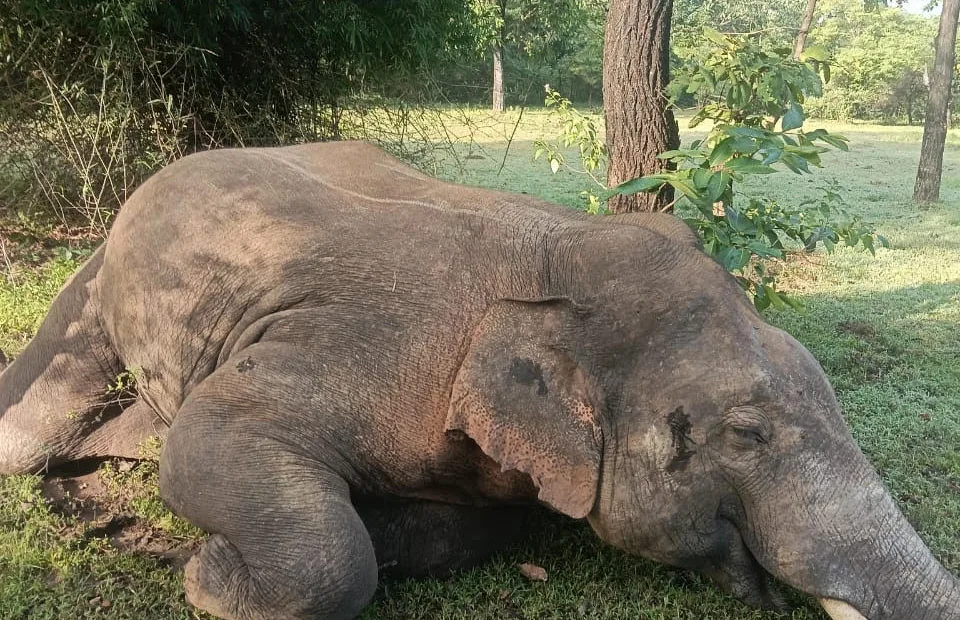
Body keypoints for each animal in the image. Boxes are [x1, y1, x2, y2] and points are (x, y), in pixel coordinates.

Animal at [0, 141, 957, 620]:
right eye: (748, 434)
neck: (558, 252)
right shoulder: (361, 346)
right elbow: (215, 437)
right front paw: (207, 577)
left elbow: (465, 530)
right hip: (100, 276)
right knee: (30, 430)